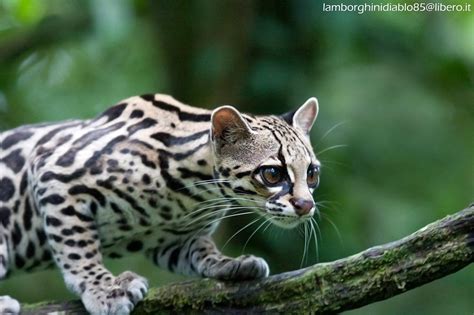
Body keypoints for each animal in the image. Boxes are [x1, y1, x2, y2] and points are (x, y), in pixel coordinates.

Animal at [0, 94, 320, 315]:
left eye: (312, 173)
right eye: (272, 173)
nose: (306, 205)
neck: (196, 193)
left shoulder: (171, 239)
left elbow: (201, 249)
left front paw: (227, 262)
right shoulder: (54, 173)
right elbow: (77, 247)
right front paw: (104, 288)